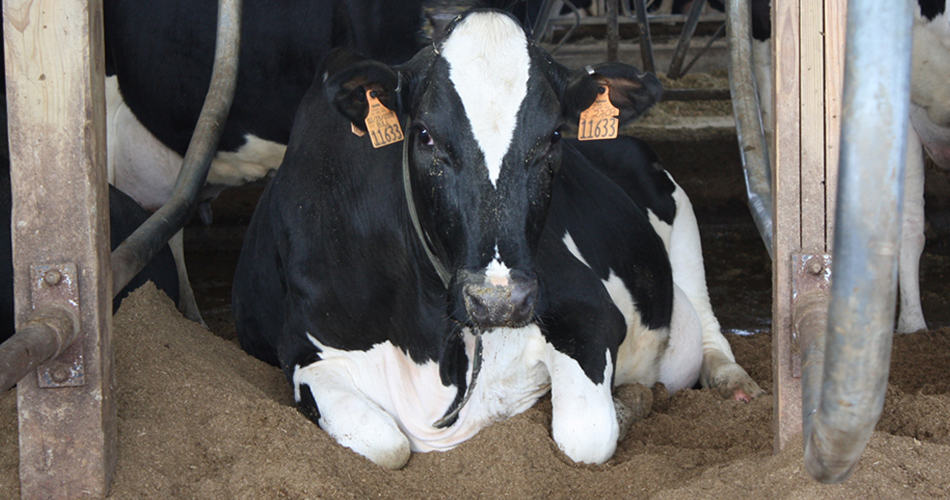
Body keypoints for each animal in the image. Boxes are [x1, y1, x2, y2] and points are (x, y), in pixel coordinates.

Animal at [232, 8, 768, 468]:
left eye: (554, 136)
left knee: (706, 320)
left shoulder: (590, 309)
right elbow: (384, 442)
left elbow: (586, 435)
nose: (498, 300)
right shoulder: (306, 354)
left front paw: (626, 401)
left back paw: (733, 382)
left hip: (678, 209)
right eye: (424, 135)